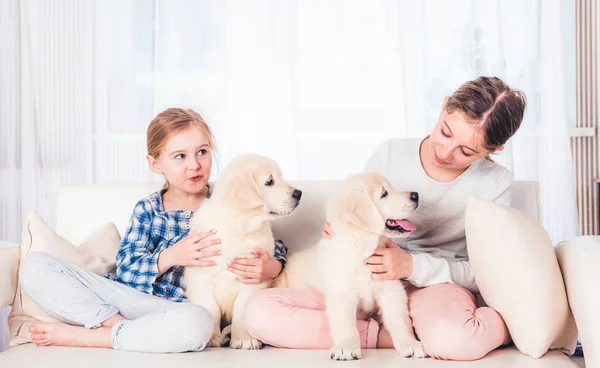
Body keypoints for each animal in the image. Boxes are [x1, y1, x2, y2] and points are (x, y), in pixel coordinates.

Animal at [185, 154, 302, 350]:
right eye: (269, 182)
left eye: (280, 177)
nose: (299, 193)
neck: (239, 225)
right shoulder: (201, 274)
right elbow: (210, 307)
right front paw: (212, 338)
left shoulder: (254, 277)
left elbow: (242, 308)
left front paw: (244, 339)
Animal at [274, 172, 424, 360]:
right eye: (384, 194)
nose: (416, 195)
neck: (363, 248)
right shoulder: (342, 293)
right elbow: (346, 324)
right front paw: (346, 347)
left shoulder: (391, 288)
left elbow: (400, 319)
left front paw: (409, 344)